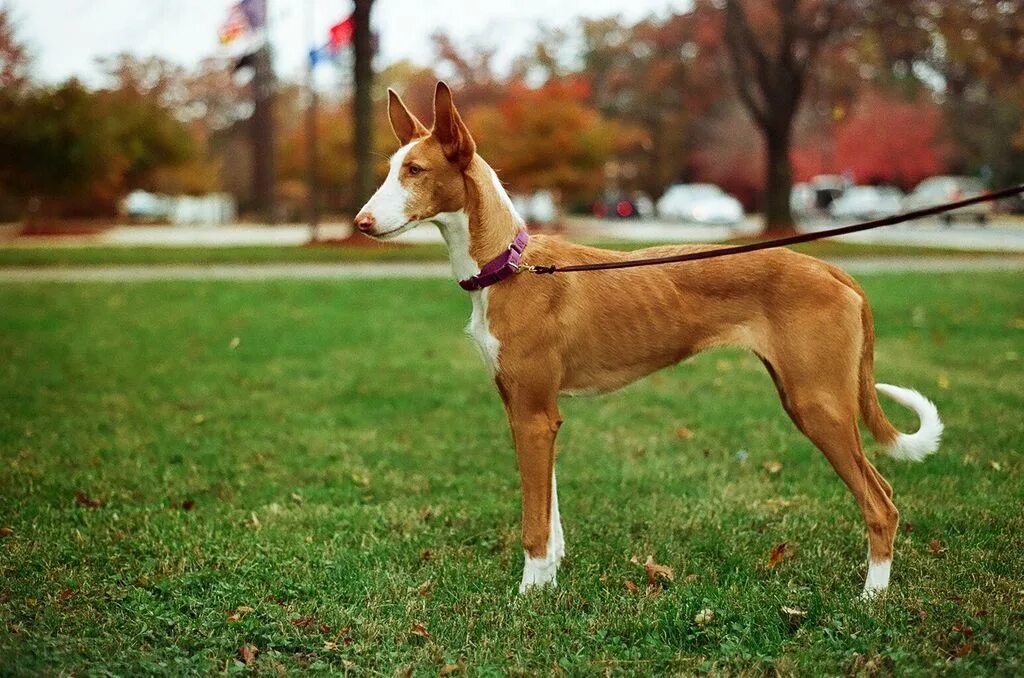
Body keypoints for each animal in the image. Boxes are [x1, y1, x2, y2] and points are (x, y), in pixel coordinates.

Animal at [354, 83, 942, 602]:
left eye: (415, 171)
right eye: (390, 168)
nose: (360, 223)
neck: (509, 266)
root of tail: (835, 270)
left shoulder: (533, 415)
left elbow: (533, 523)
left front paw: (527, 598)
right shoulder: (531, 410)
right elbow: (551, 513)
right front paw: (551, 582)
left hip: (818, 404)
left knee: (882, 503)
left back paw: (871, 598)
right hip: (805, 396)